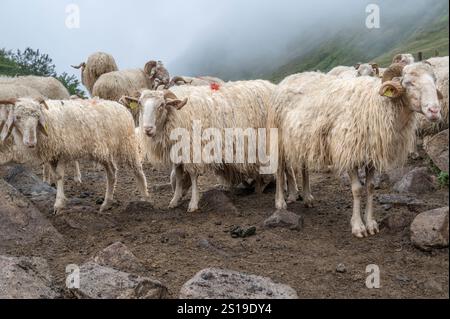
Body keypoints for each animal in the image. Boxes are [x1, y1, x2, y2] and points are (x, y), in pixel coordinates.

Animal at [0, 96, 151, 214]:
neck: (48, 120)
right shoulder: (52, 154)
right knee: (112, 173)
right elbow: (55, 175)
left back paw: (145, 199)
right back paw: (106, 203)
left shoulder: (64, 151)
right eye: (18, 117)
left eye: (37, 117)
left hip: (127, 144)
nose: (30, 142)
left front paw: (59, 204)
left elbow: (59, 176)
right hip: (104, 152)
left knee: (138, 170)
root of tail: (120, 106)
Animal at [268, 62, 442, 238]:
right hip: (279, 137)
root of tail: (287, 79)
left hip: (302, 139)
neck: (378, 104)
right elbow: (357, 190)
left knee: (304, 166)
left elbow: (370, 187)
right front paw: (358, 226)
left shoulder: (371, 157)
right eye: (408, 83)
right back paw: (280, 202)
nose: (435, 111)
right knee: (279, 168)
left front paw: (370, 224)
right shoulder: (348, 152)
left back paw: (308, 197)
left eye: (434, 80)